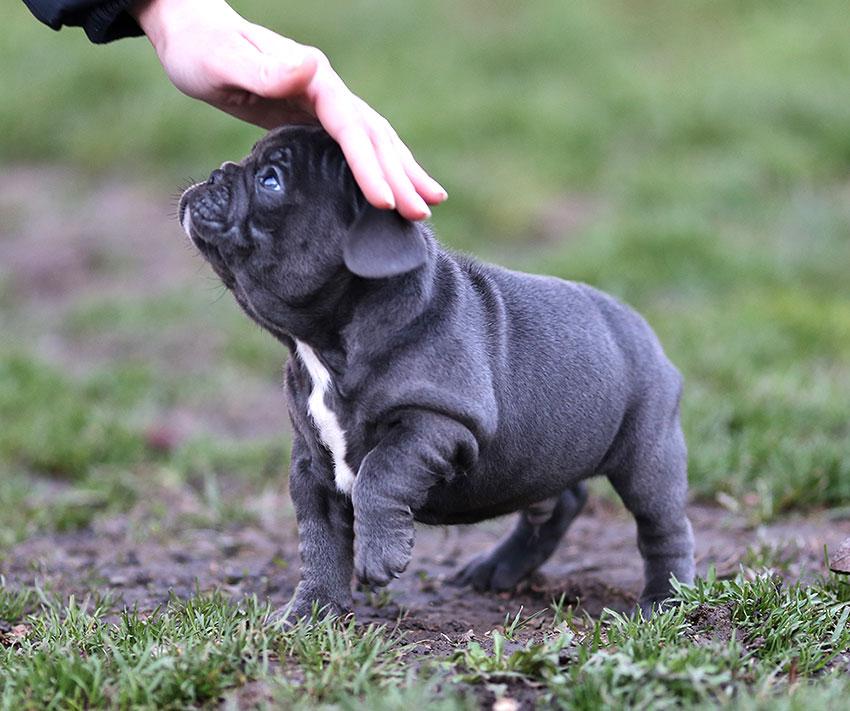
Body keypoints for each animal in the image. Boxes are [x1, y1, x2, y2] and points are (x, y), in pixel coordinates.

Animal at [181, 125, 696, 620]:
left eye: (271, 180)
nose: (216, 172)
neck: (324, 348)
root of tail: (644, 330)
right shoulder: (312, 465)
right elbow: (321, 545)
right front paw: (310, 612)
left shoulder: (436, 422)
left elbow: (379, 472)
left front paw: (380, 556)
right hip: (549, 453)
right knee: (558, 504)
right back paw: (499, 568)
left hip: (647, 453)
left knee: (663, 525)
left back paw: (664, 601)